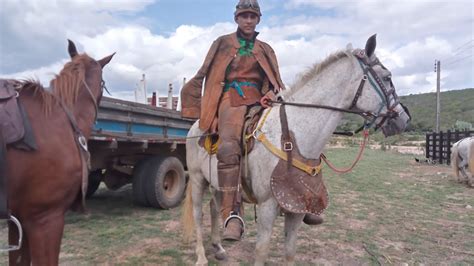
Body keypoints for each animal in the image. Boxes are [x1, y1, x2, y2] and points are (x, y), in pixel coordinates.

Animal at [181, 34, 412, 264]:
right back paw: (202, 256)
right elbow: (261, 251)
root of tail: (196, 125)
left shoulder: (297, 209)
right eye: (388, 77)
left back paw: (218, 247)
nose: (404, 118)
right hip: (197, 178)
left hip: (215, 183)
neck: (292, 137)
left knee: (214, 208)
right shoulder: (267, 207)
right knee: (198, 213)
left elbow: (290, 251)